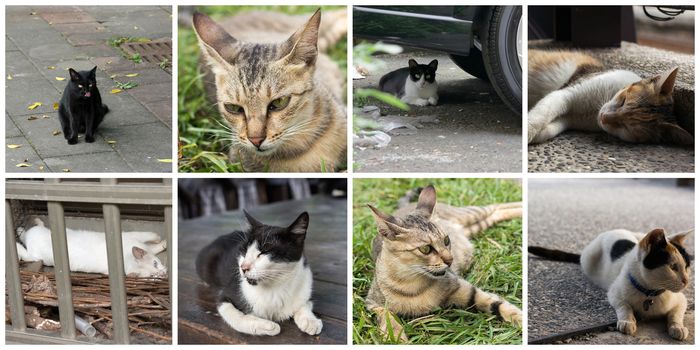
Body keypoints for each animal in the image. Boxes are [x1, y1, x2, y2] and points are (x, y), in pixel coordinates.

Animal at [15, 217, 168, 278]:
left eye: (156, 263)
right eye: (152, 276)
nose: (164, 272)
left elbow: (152, 242)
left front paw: (162, 243)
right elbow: (150, 237)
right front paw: (161, 240)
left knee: (33, 228)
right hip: (35, 256)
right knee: (25, 251)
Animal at [366, 186, 520, 342]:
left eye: (446, 240)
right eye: (425, 249)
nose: (450, 260)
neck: (412, 284)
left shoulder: (466, 290)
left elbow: (499, 305)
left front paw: (520, 318)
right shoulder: (373, 303)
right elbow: (387, 317)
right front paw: (397, 337)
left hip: (470, 214)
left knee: (496, 206)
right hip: (477, 225)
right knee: (495, 213)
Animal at [528, 49, 692, 145]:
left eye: (627, 127)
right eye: (623, 101)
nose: (604, 117)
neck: (594, 110)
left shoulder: (569, 119)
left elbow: (550, 128)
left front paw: (536, 136)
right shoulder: (565, 94)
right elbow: (539, 117)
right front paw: (529, 133)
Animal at [532, 228, 692, 340]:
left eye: (687, 266)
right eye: (672, 267)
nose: (686, 281)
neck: (650, 293)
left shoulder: (681, 300)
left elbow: (676, 314)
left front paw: (678, 327)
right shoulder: (614, 293)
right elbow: (624, 306)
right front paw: (628, 321)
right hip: (589, 257)